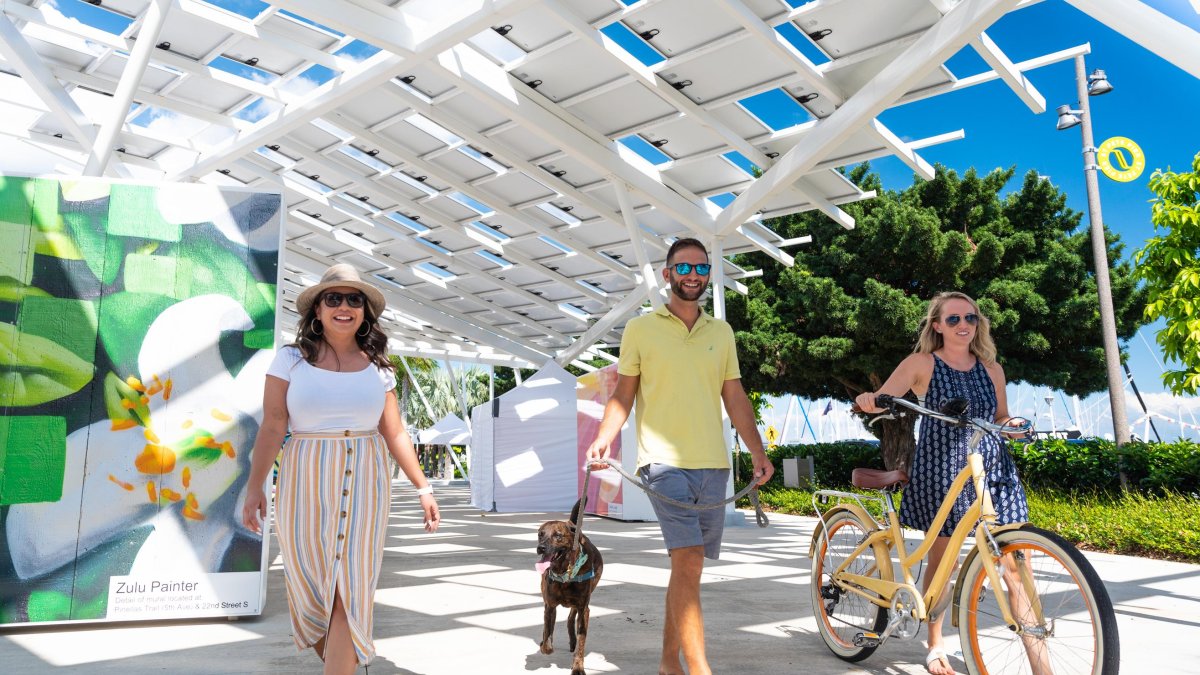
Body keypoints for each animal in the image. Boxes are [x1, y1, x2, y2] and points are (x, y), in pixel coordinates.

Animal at [540, 494, 604, 672]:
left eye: (558, 535)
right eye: (540, 534)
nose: (540, 548)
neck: (565, 573)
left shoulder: (584, 609)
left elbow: (582, 641)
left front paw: (578, 667)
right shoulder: (550, 605)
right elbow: (547, 635)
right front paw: (546, 645)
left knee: (570, 617)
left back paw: (572, 640)